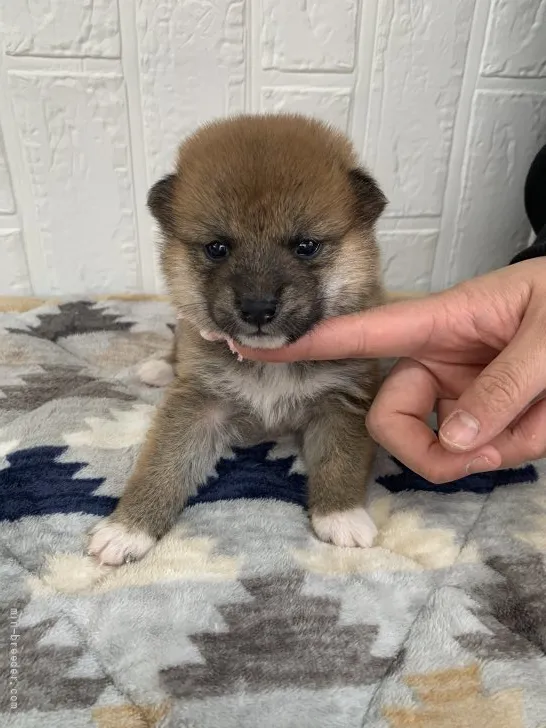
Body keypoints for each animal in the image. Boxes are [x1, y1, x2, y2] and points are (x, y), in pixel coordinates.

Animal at [88, 115, 386, 568]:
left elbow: (341, 460)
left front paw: (342, 515)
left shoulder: (343, 400)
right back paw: (160, 366)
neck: (272, 360)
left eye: (306, 246)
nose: (258, 308)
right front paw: (128, 529)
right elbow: (164, 464)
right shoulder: (199, 403)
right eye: (217, 248)